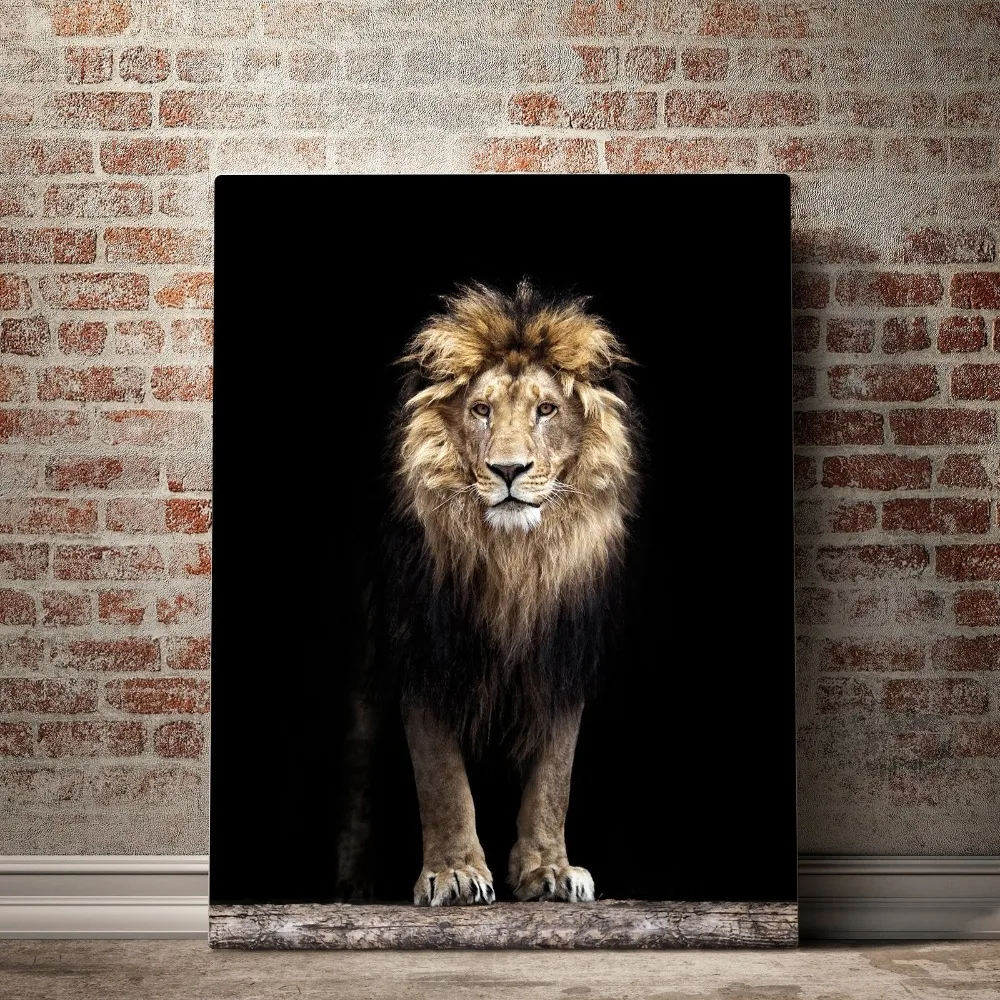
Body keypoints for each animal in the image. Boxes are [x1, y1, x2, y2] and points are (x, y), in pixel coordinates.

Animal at [339, 280, 640, 907]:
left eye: (546, 410)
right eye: (481, 411)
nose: (508, 469)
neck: (513, 561)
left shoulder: (562, 653)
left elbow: (554, 776)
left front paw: (549, 870)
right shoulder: (424, 647)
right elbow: (441, 777)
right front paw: (454, 873)